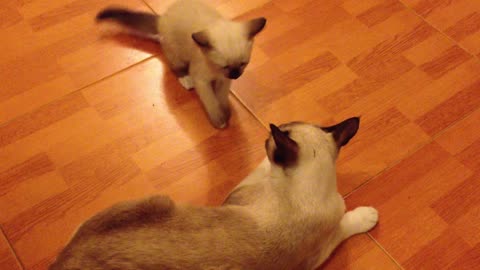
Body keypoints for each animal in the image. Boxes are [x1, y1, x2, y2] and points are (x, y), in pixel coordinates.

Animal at [94, 0, 266, 129]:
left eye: (243, 64)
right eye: (225, 66)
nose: (236, 75)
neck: (215, 72)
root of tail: (162, 17)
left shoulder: (224, 80)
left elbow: (222, 97)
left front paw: (226, 111)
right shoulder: (202, 80)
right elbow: (211, 100)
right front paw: (219, 119)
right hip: (177, 54)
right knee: (175, 66)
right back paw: (185, 80)